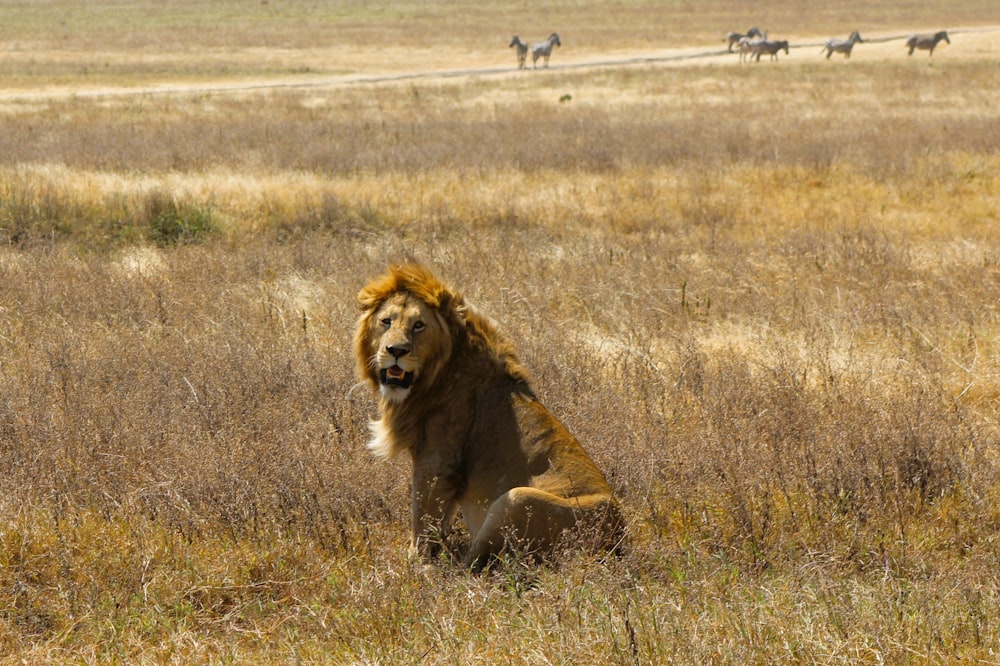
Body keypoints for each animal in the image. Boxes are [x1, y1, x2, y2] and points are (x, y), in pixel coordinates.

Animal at [356, 262, 620, 568]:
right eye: (386, 321)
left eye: (418, 325)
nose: (396, 351)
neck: (436, 375)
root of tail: (618, 538)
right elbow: (441, 515)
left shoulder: (437, 460)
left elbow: (422, 513)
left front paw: (416, 560)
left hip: (517, 498)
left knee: (471, 565)